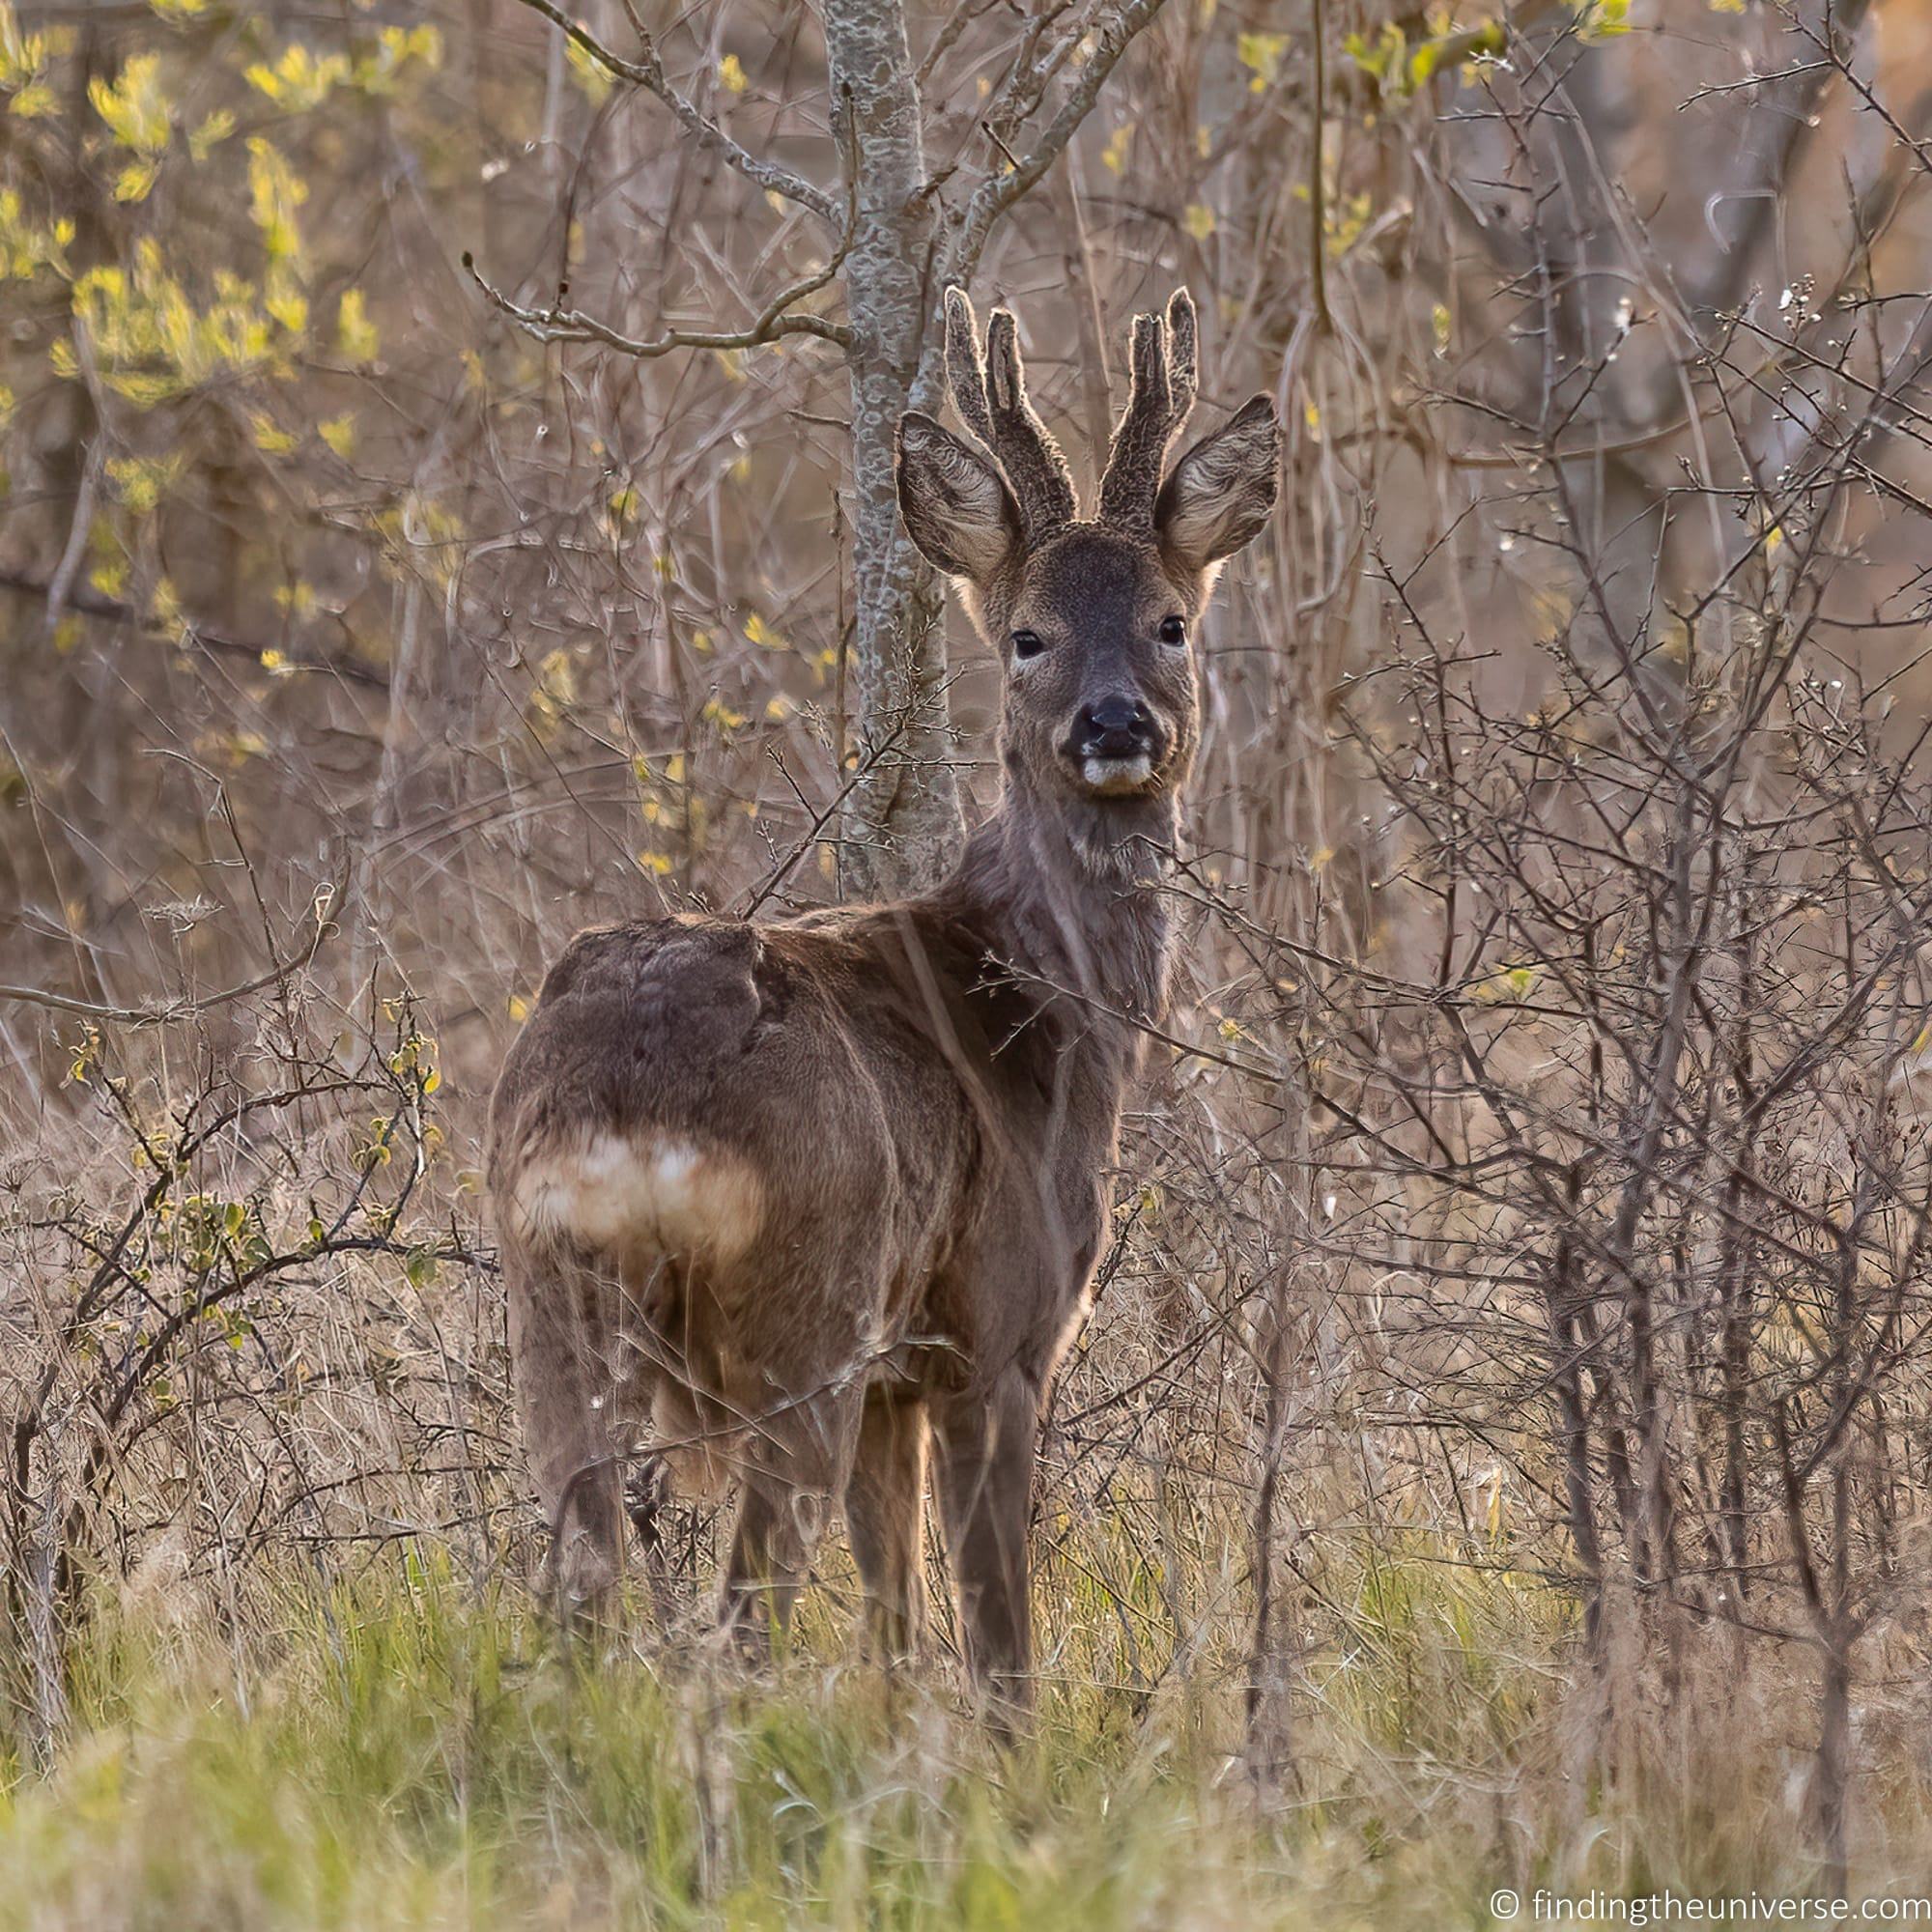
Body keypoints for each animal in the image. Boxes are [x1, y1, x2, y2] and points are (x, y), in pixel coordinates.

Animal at [487, 285, 1279, 1715]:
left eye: (1170, 620)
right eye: (1025, 635)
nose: (1114, 724)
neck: (1054, 1011)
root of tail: (634, 1112)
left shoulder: (895, 1383)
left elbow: (894, 1618)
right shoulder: (997, 1332)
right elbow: (995, 1631)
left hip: (551, 1302)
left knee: (580, 1578)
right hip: (805, 1314)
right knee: (741, 1613)